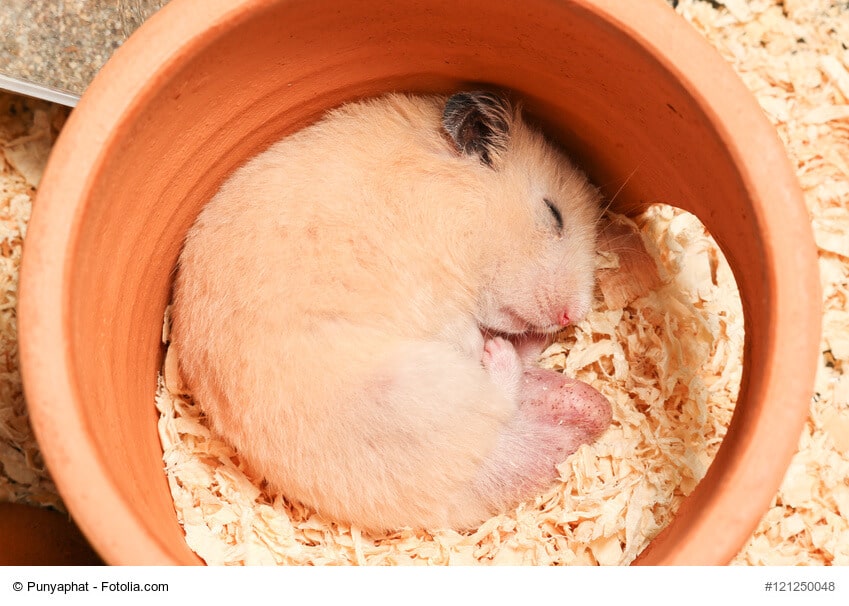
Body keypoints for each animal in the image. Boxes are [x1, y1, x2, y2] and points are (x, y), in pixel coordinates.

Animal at [170, 91, 612, 533]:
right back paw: (498, 352)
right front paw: (487, 341)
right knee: (499, 399)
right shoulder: (437, 292)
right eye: (554, 214)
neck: (450, 203)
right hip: (415, 387)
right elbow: (464, 331)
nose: (571, 316)